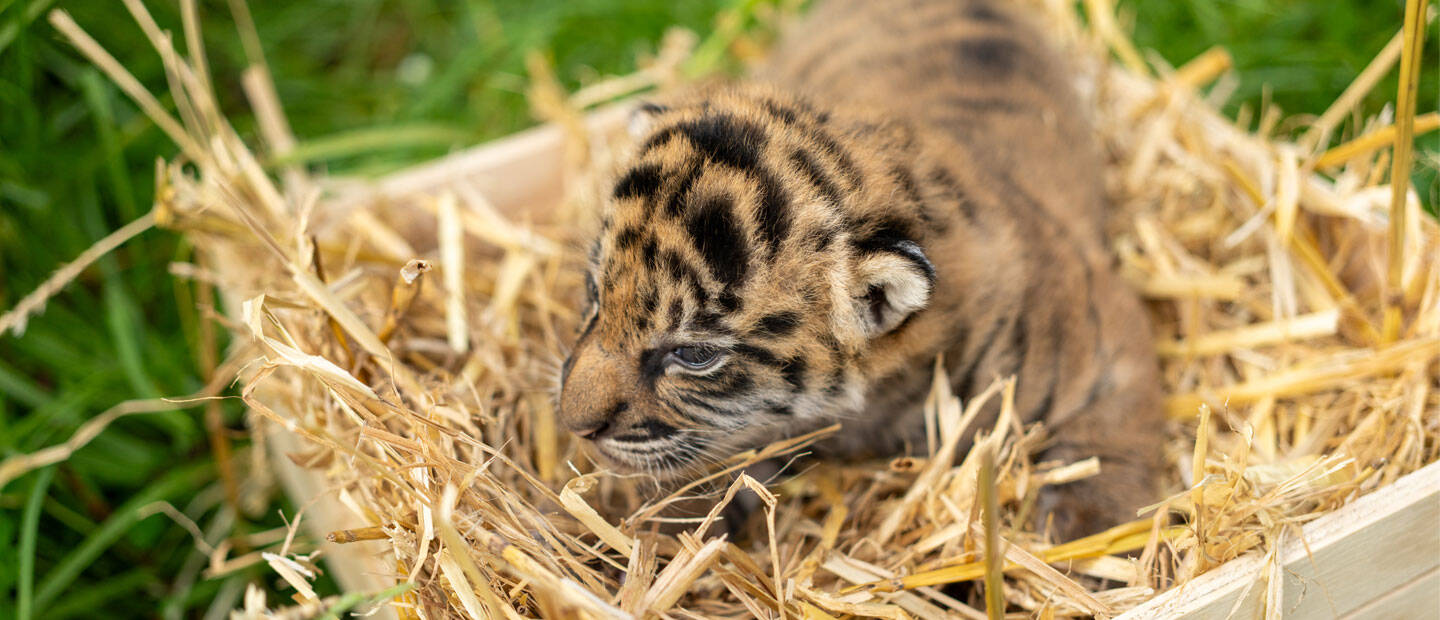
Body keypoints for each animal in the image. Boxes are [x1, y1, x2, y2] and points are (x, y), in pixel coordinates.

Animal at [556, 0, 1165, 537]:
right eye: (595, 293)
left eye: (695, 355)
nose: (573, 424)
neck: (879, 401)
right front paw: (670, 524)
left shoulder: (1107, 330)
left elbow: (1116, 425)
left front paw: (1089, 525)